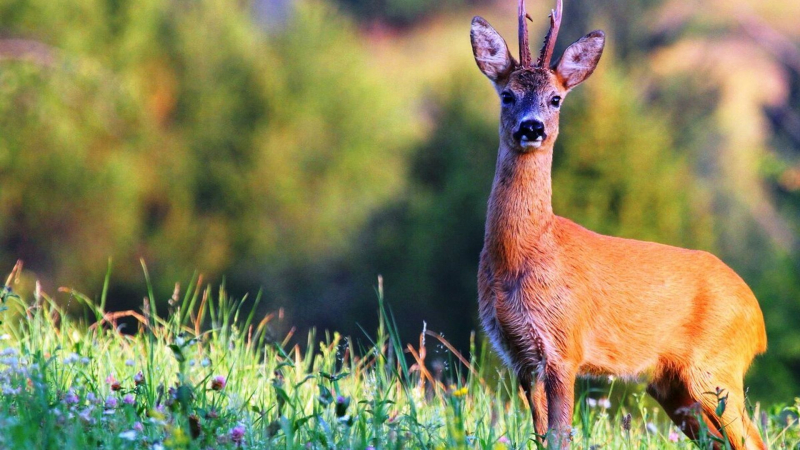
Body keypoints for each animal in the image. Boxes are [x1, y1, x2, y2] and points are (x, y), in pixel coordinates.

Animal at [472, 1, 764, 448]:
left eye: (556, 99)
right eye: (507, 95)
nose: (532, 127)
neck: (524, 253)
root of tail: (757, 319)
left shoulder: (564, 346)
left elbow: (560, 434)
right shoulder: (518, 356)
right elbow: (540, 433)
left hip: (716, 365)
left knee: (751, 438)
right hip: (672, 386)